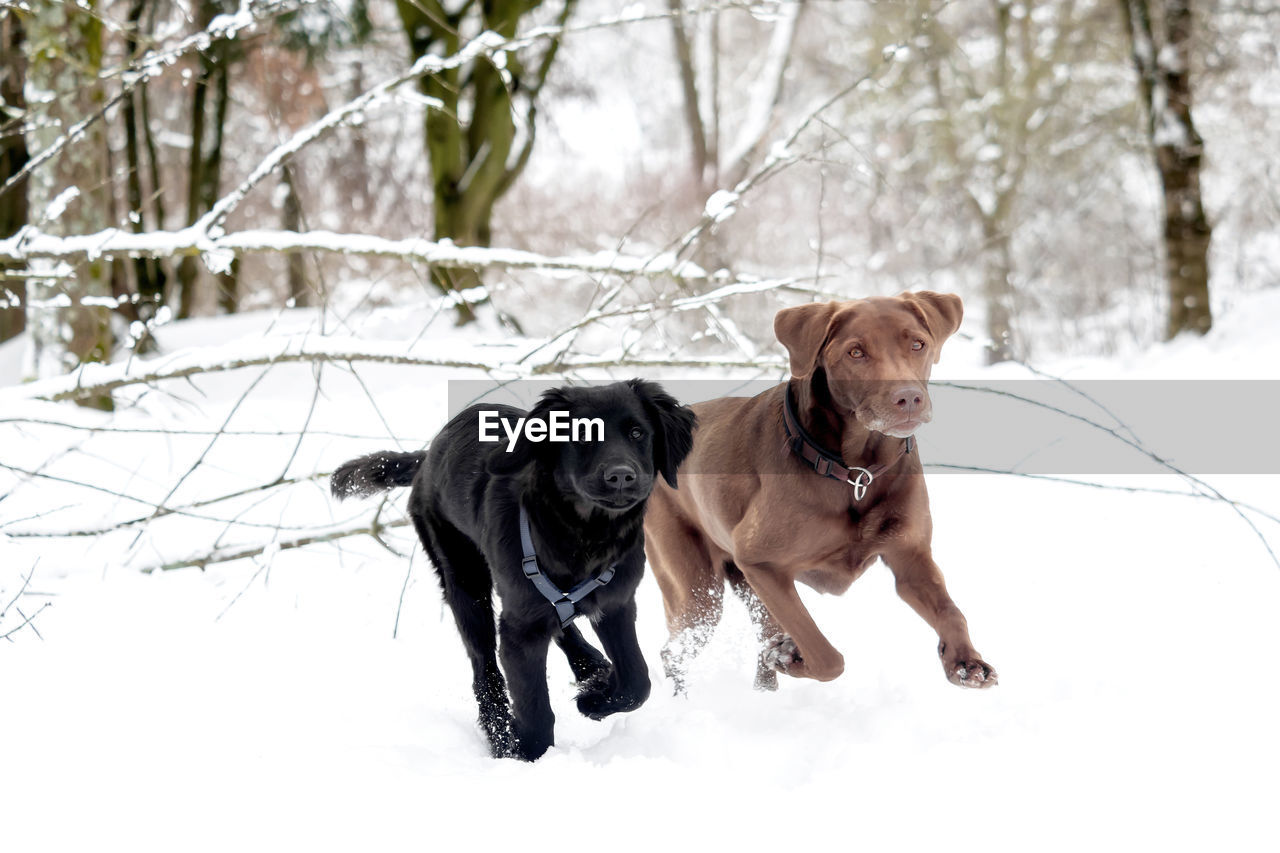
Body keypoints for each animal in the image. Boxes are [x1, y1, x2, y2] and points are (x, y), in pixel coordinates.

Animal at [330, 379, 691, 758]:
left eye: (637, 433)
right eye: (581, 435)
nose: (621, 476)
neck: (583, 534)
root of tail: (429, 455)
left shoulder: (616, 603)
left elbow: (638, 680)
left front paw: (594, 699)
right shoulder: (520, 630)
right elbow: (535, 707)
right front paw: (526, 753)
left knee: (562, 627)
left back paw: (591, 668)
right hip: (465, 581)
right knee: (483, 665)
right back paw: (498, 729)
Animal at [645, 292, 993, 691]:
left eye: (918, 344)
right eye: (855, 353)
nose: (908, 398)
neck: (857, 473)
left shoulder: (911, 557)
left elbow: (951, 611)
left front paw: (965, 662)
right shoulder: (760, 562)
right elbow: (825, 654)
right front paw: (791, 658)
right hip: (697, 588)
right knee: (674, 652)